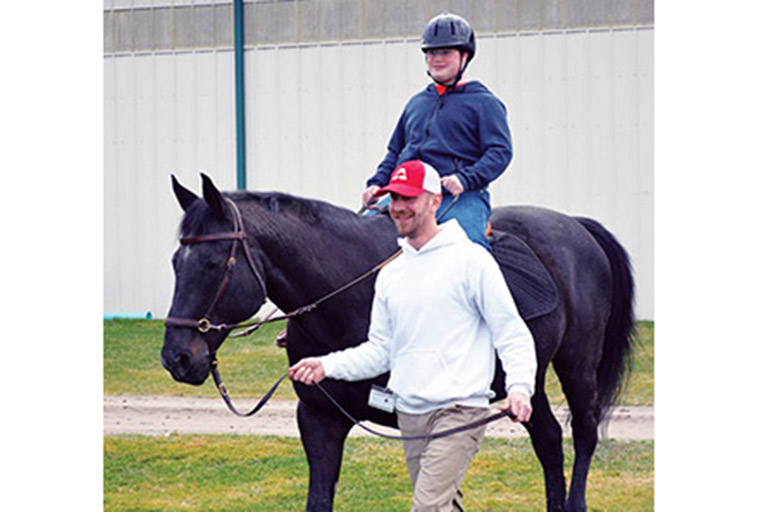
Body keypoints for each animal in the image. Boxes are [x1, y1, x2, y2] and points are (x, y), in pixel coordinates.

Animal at [162, 174, 636, 510]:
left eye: (212, 263)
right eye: (175, 262)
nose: (177, 358)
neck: (349, 293)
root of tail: (575, 225)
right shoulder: (318, 419)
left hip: (577, 366)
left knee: (584, 434)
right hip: (529, 382)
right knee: (549, 441)